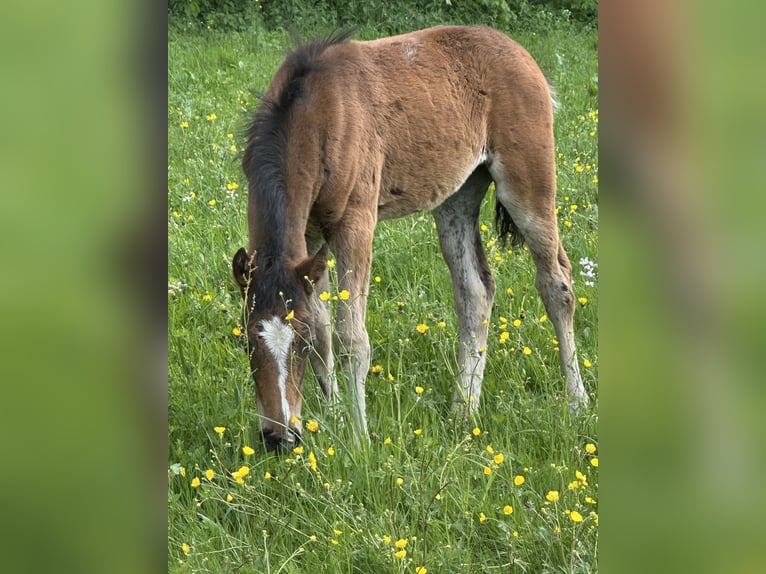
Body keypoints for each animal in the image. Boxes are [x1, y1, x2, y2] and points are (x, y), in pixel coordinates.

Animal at [232, 26, 589, 452]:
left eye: (297, 343)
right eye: (246, 342)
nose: (279, 438)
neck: (317, 114)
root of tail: (521, 53)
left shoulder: (356, 222)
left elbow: (350, 338)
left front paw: (358, 441)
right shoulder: (309, 235)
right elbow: (324, 328)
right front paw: (333, 418)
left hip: (528, 185)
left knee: (557, 284)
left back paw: (577, 403)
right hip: (457, 197)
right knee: (475, 292)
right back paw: (462, 412)